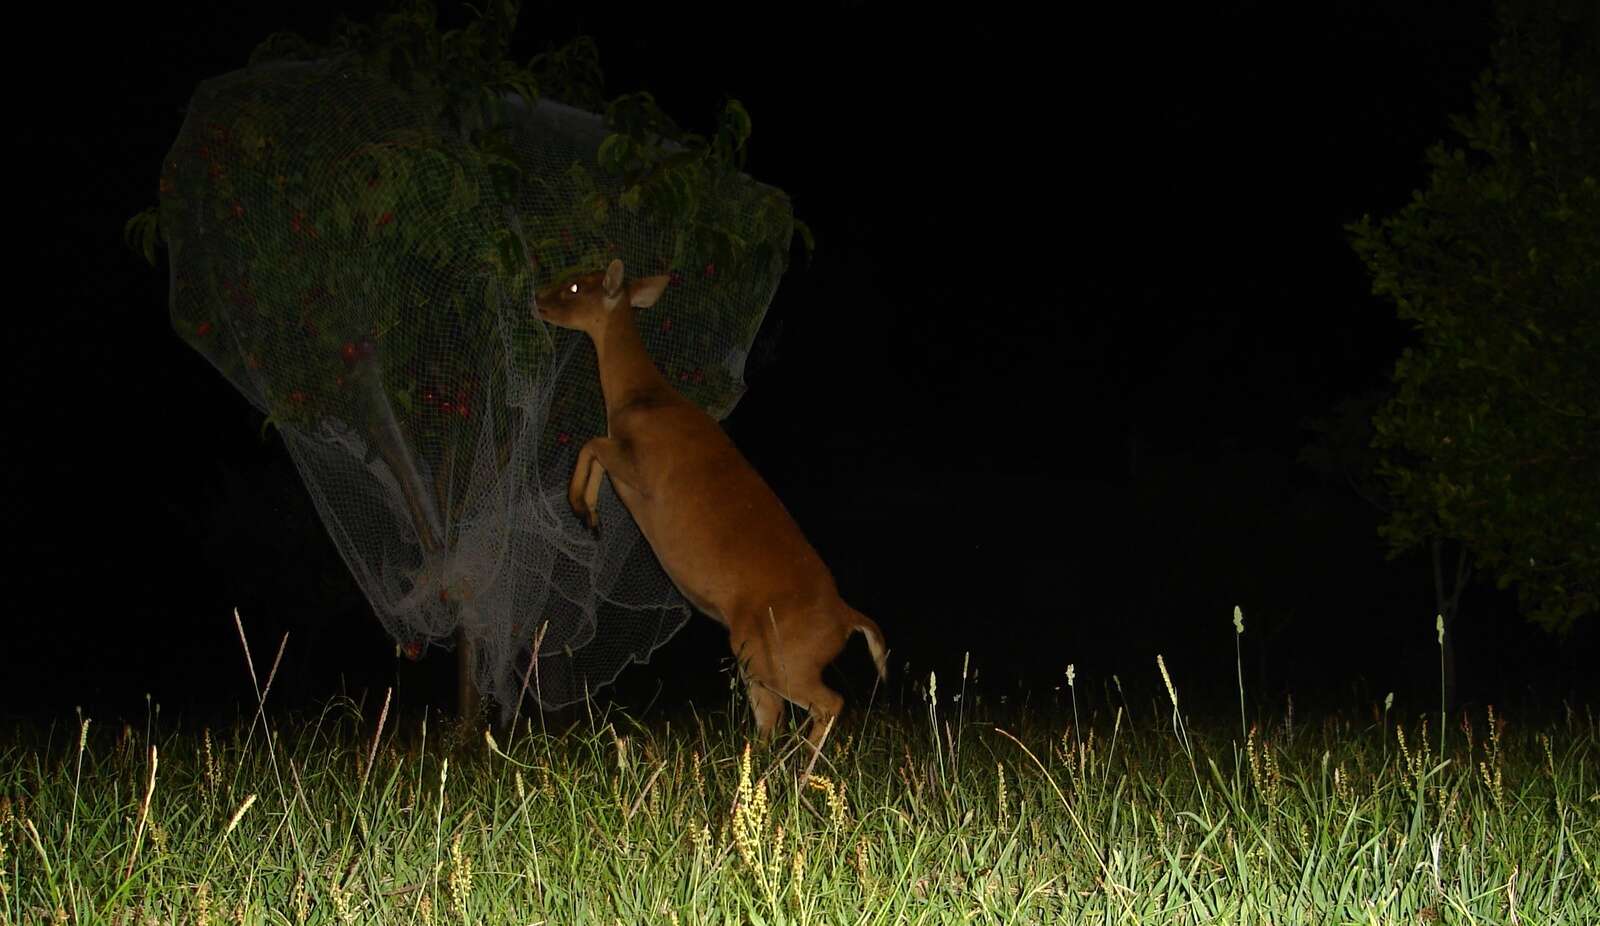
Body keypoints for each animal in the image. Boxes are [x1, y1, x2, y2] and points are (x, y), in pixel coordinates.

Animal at [534, 258, 888, 751]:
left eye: (573, 287)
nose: (536, 299)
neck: (640, 399)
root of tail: (847, 618)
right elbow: (596, 451)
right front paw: (592, 515)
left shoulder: (643, 465)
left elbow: (591, 445)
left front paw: (582, 509)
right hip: (755, 650)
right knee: (773, 715)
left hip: (781, 653)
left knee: (827, 703)